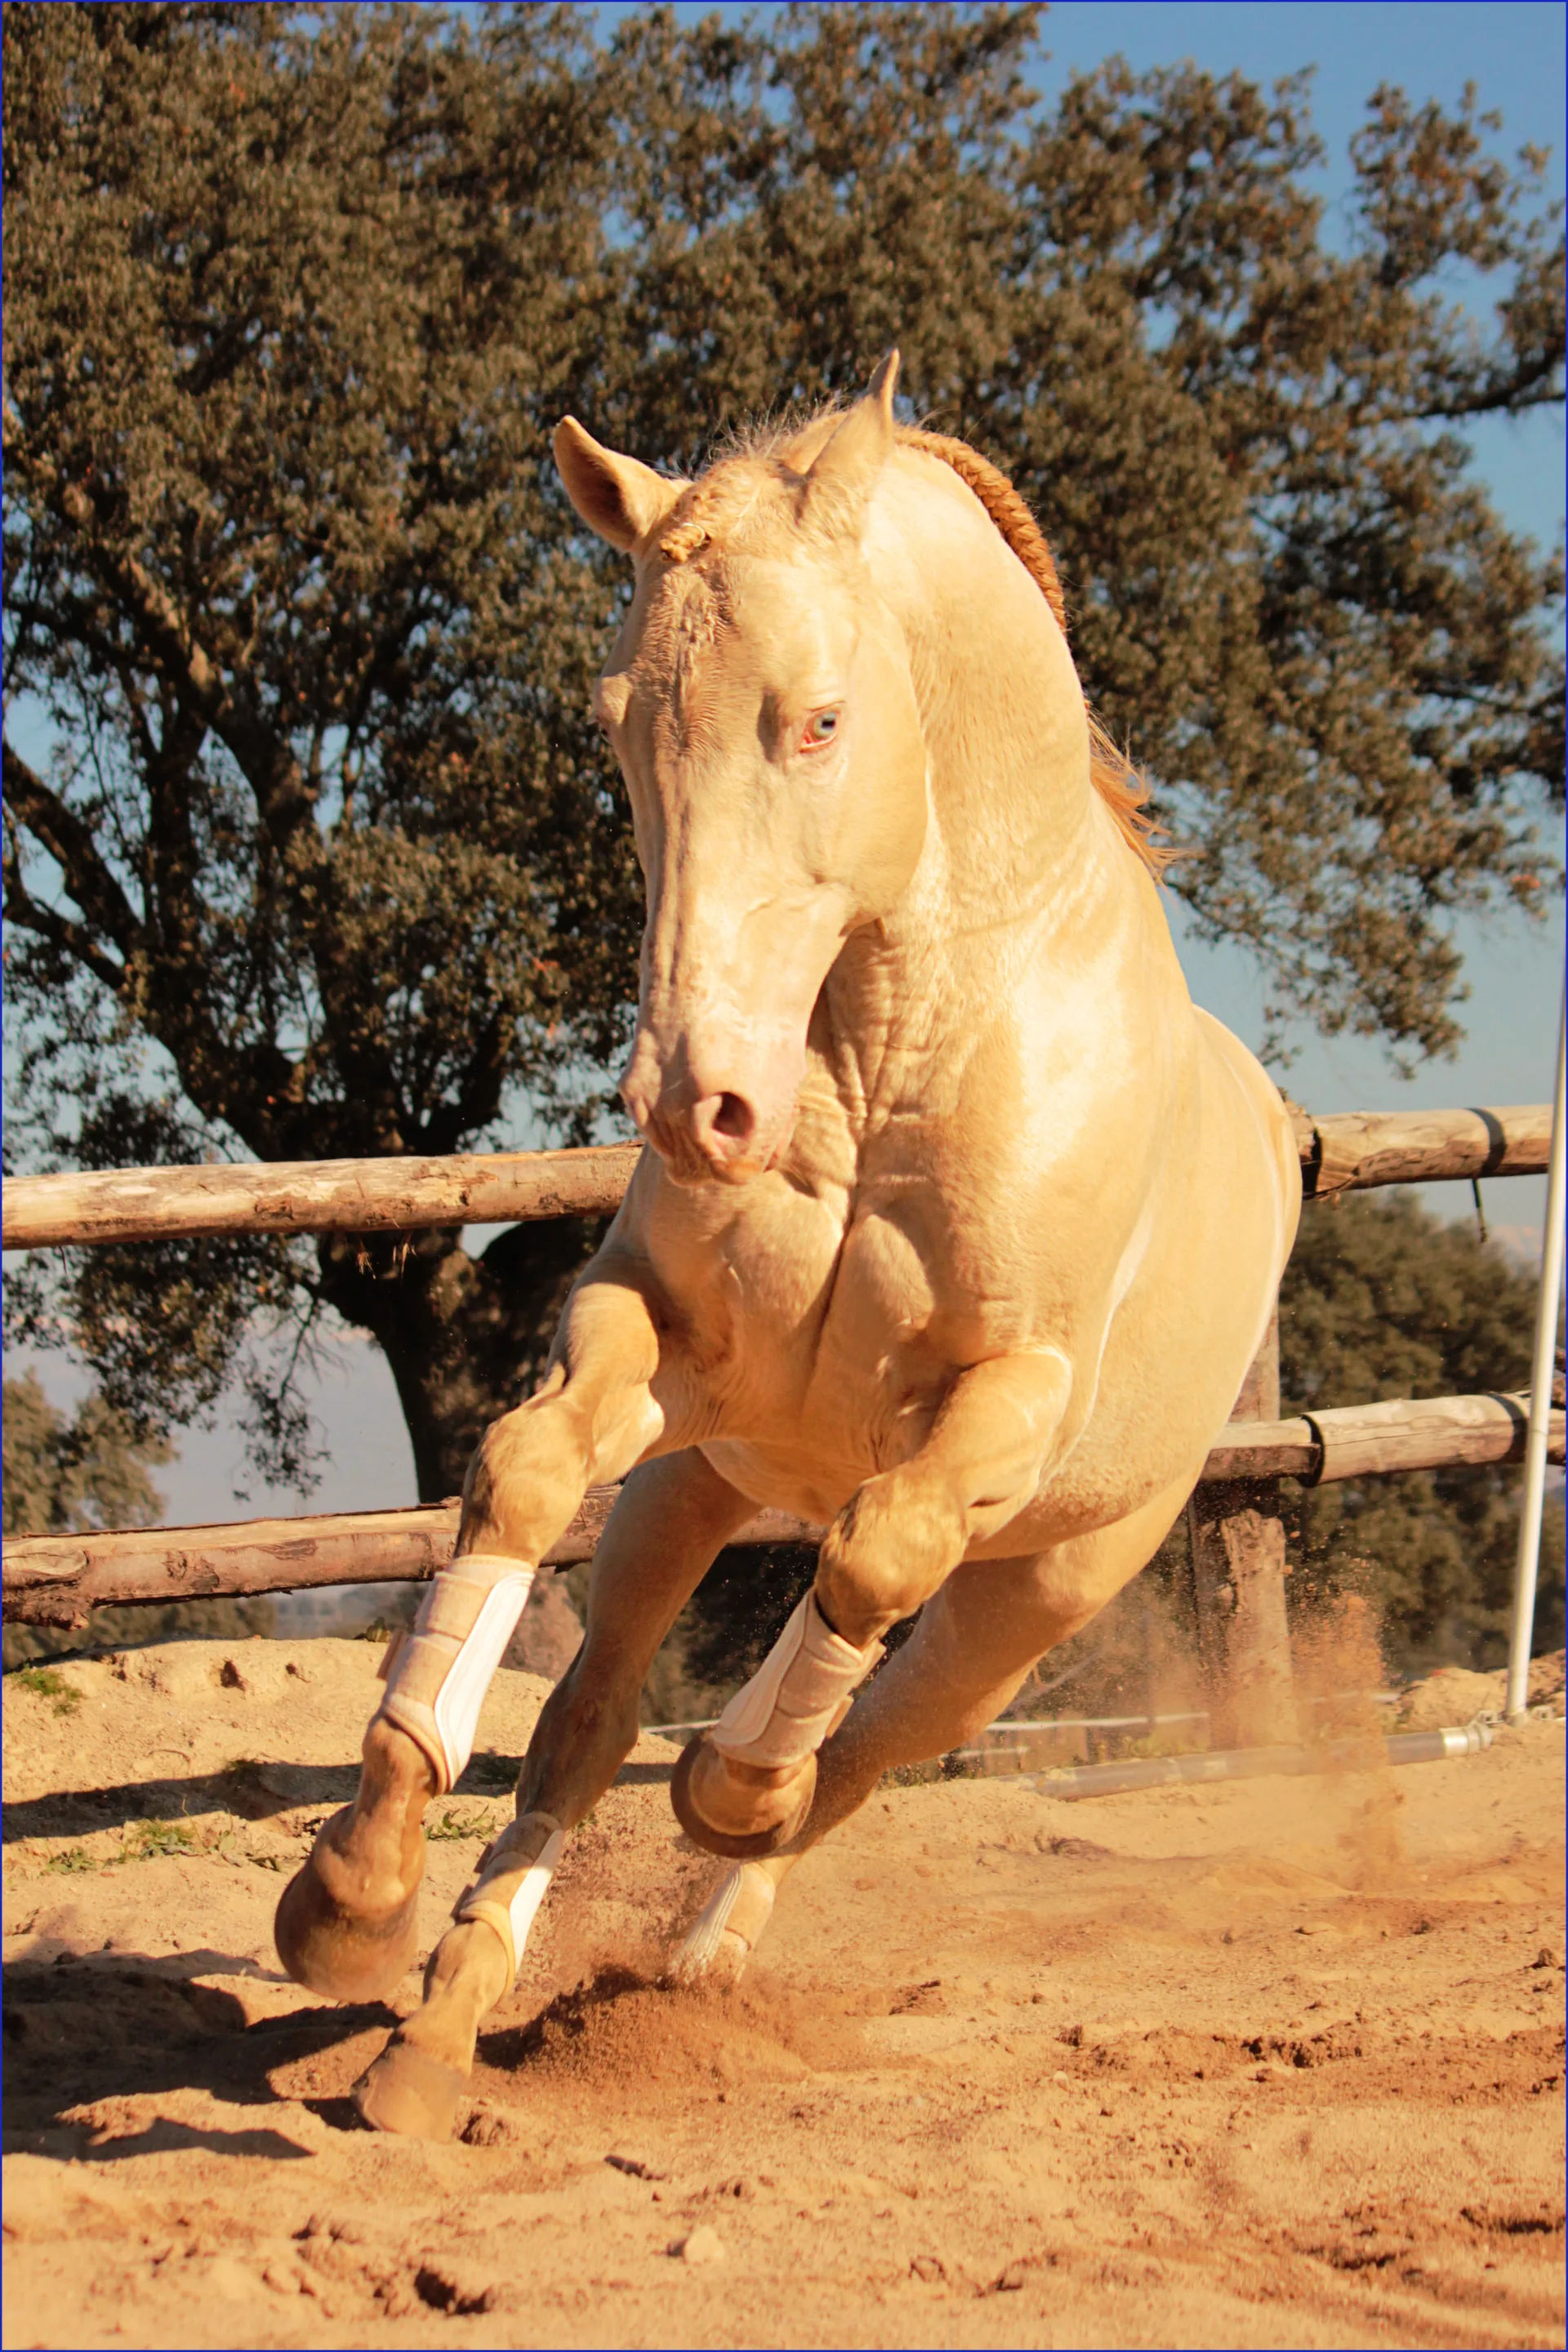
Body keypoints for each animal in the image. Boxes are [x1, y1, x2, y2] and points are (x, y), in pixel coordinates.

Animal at [274, 352, 1301, 2139]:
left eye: (819, 718)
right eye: (619, 722)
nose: (700, 1107)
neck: (890, 1056)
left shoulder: (1004, 1406)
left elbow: (874, 1563)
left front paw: (734, 1784)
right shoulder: (664, 1349)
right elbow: (522, 1481)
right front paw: (350, 1890)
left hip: (1034, 1599)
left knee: (870, 1751)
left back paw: (706, 1938)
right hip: (693, 1491)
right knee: (588, 1724)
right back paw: (443, 2029)